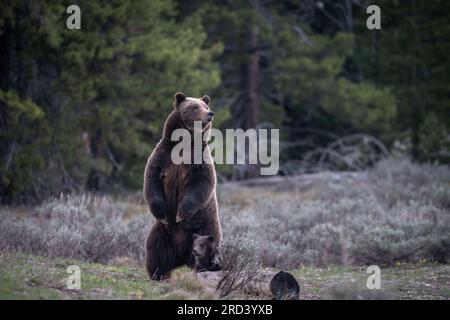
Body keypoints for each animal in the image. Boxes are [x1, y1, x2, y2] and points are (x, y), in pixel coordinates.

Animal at [144, 92, 221, 280]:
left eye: (206, 106)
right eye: (195, 106)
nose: (210, 114)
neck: (184, 144)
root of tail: (181, 254)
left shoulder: (199, 160)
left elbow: (202, 183)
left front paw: (181, 213)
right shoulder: (163, 157)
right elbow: (152, 181)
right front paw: (163, 212)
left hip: (205, 227)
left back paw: (203, 267)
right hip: (163, 232)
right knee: (155, 249)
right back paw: (158, 273)